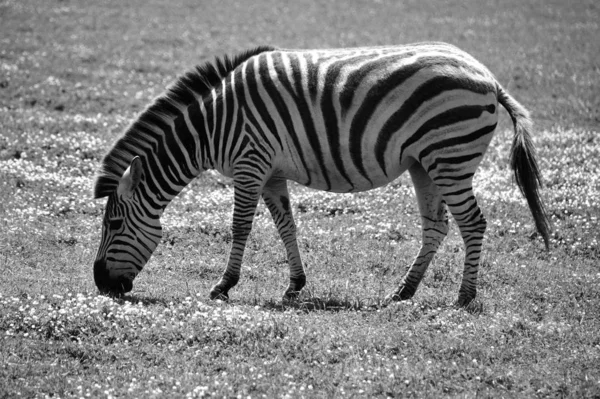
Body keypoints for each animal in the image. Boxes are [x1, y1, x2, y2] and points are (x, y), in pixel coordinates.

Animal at [92, 42, 548, 306]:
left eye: (113, 224)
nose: (100, 284)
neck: (212, 125)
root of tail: (487, 76)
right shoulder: (270, 171)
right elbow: (286, 226)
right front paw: (295, 284)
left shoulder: (249, 163)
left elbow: (240, 227)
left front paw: (224, 285)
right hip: (425, 162)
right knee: (436, 226)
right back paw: (404, 291)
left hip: (449, 155)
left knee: (473, 223)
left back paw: (464, 296)